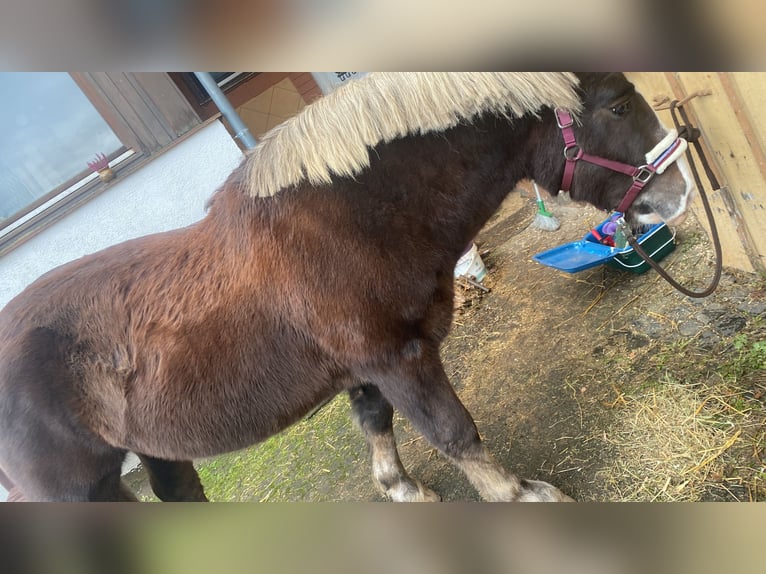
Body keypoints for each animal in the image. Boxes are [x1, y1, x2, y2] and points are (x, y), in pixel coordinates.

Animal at [0, 73, 696, 504]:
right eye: (616, 106)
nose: (679, 192)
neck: (350, 224)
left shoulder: (368, 365)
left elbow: (376, 422)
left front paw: (403, 489)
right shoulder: (401, 358)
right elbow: (454, 432)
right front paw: (520, 494)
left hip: (156, 451)